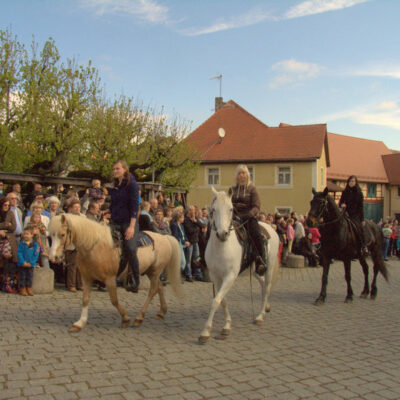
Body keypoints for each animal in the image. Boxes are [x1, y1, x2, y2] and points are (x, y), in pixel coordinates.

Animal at [49, 214, 182, 332]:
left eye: (62, 234)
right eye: (50, 236)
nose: (53, 257)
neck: (95, 246)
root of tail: (165, 237)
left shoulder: (110, 279)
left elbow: (114, 300)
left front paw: (125, 319)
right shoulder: (86, 278)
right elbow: (85, 299)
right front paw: (80, 323)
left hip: (155, 271)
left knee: (153, 290)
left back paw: (139, 317)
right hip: (150, 272)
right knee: (159, 287)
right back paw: (161, 312)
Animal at [198, 188, 280, 344]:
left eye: (231, 209)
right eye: (213, 210)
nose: (222, 234)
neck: (221, 247)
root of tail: (271, 227)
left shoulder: (230, 276)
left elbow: (216, 300)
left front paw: (205, 332)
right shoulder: (215, 277)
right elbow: (222, 300)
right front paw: (226, 325)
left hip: (269, 267)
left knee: (267, 287)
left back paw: (260, 316)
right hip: (254, 269)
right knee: (262, 284)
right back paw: (266, 307)